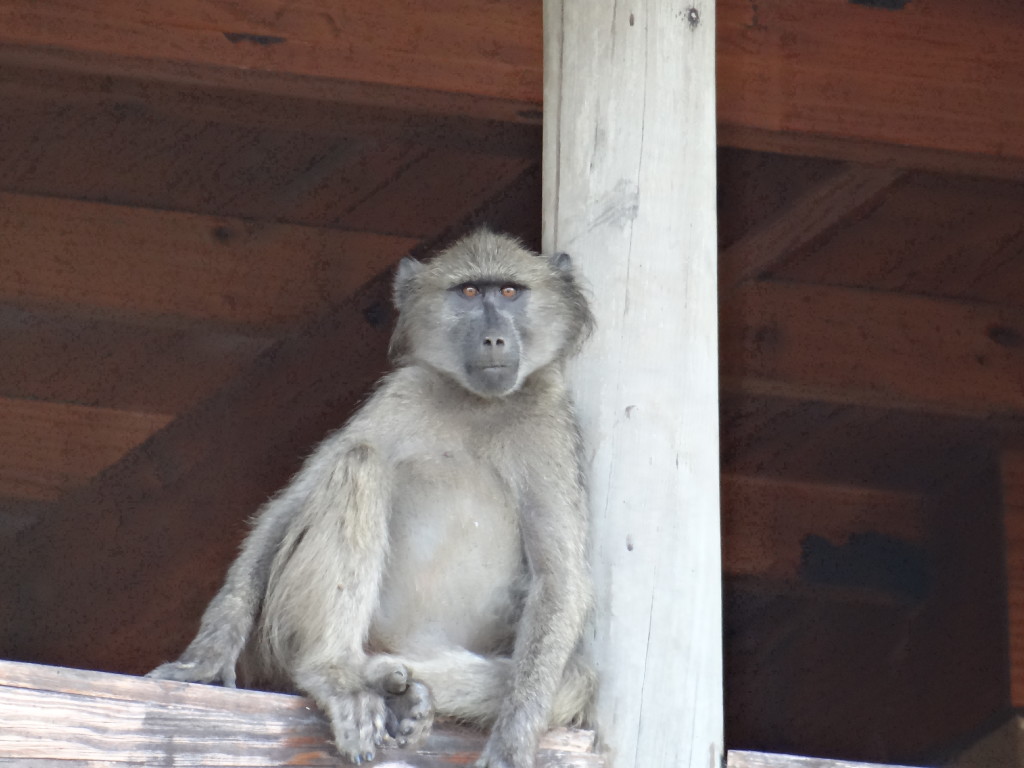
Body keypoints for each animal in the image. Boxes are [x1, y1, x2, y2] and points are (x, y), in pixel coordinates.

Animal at [148, 230, 597, 768]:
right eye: (469, 293)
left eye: (510, 292)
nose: (494, 340)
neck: (476, 404)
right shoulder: (402, 392)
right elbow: (287, 508)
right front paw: (206, 658)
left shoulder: (551, 424)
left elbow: (559, 579)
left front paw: (511, 744)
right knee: (360, 462)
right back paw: (337, 674)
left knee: (573, 681)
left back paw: (397, 689)